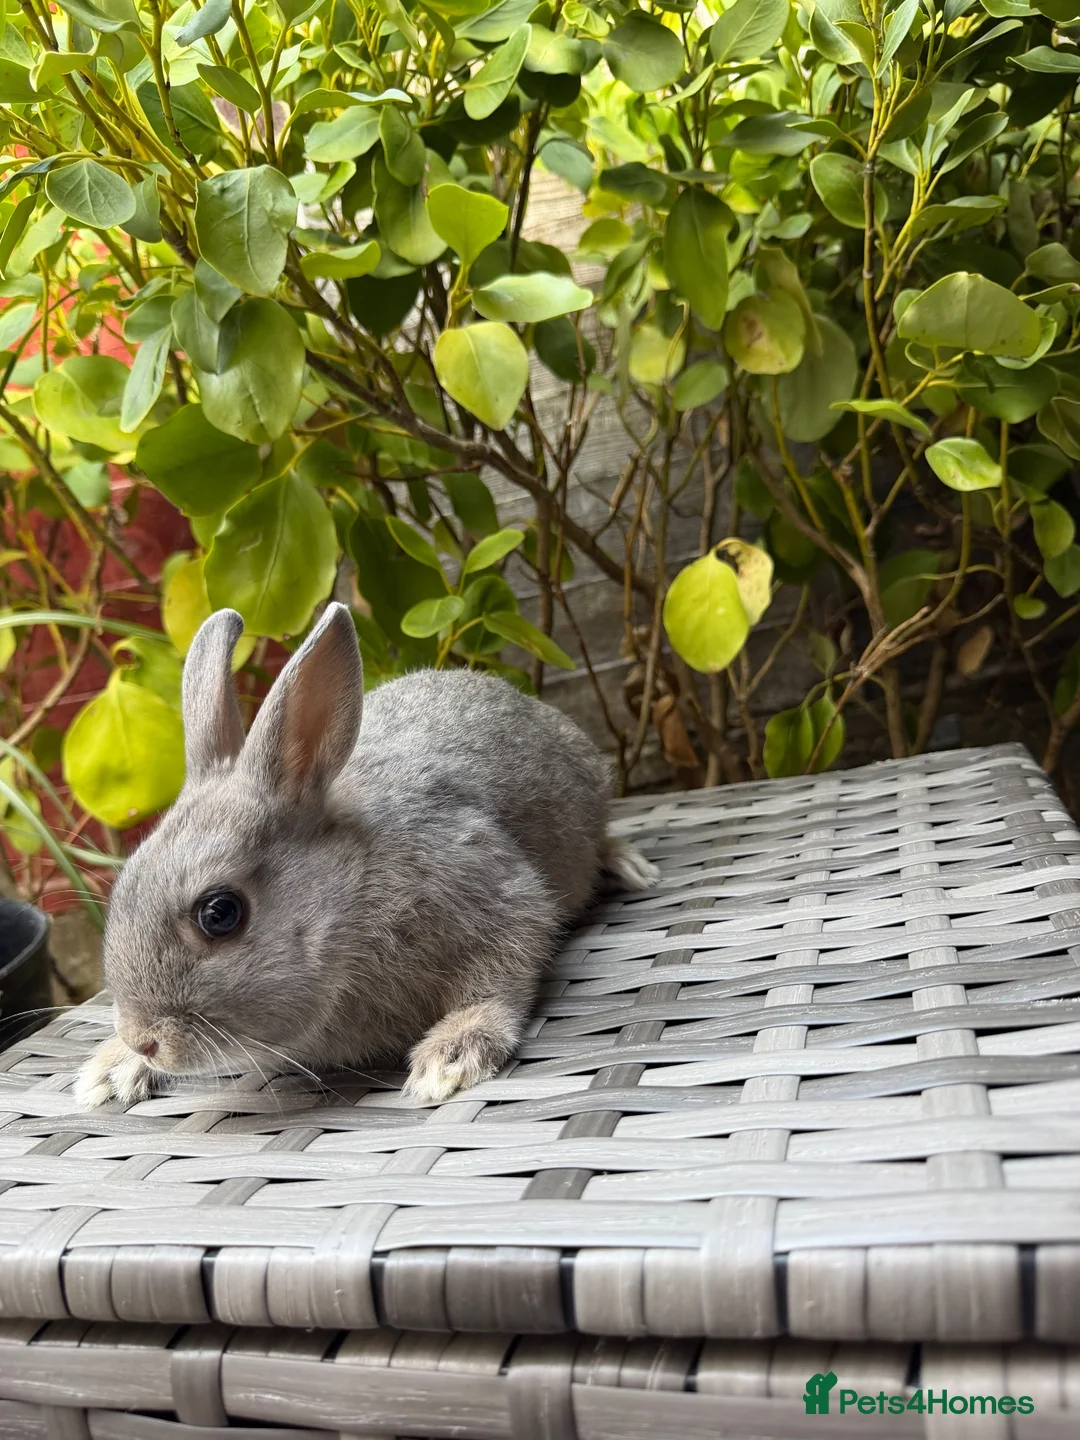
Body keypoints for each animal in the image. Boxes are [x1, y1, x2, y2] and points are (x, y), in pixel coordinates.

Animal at [74, 602, 658, 1109]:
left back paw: (633, 868)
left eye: (219, 913)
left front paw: (448, 1059)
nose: (144, 1038)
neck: (349, 895)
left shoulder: (491, 891)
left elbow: (502, 974)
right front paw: (110, 1069)